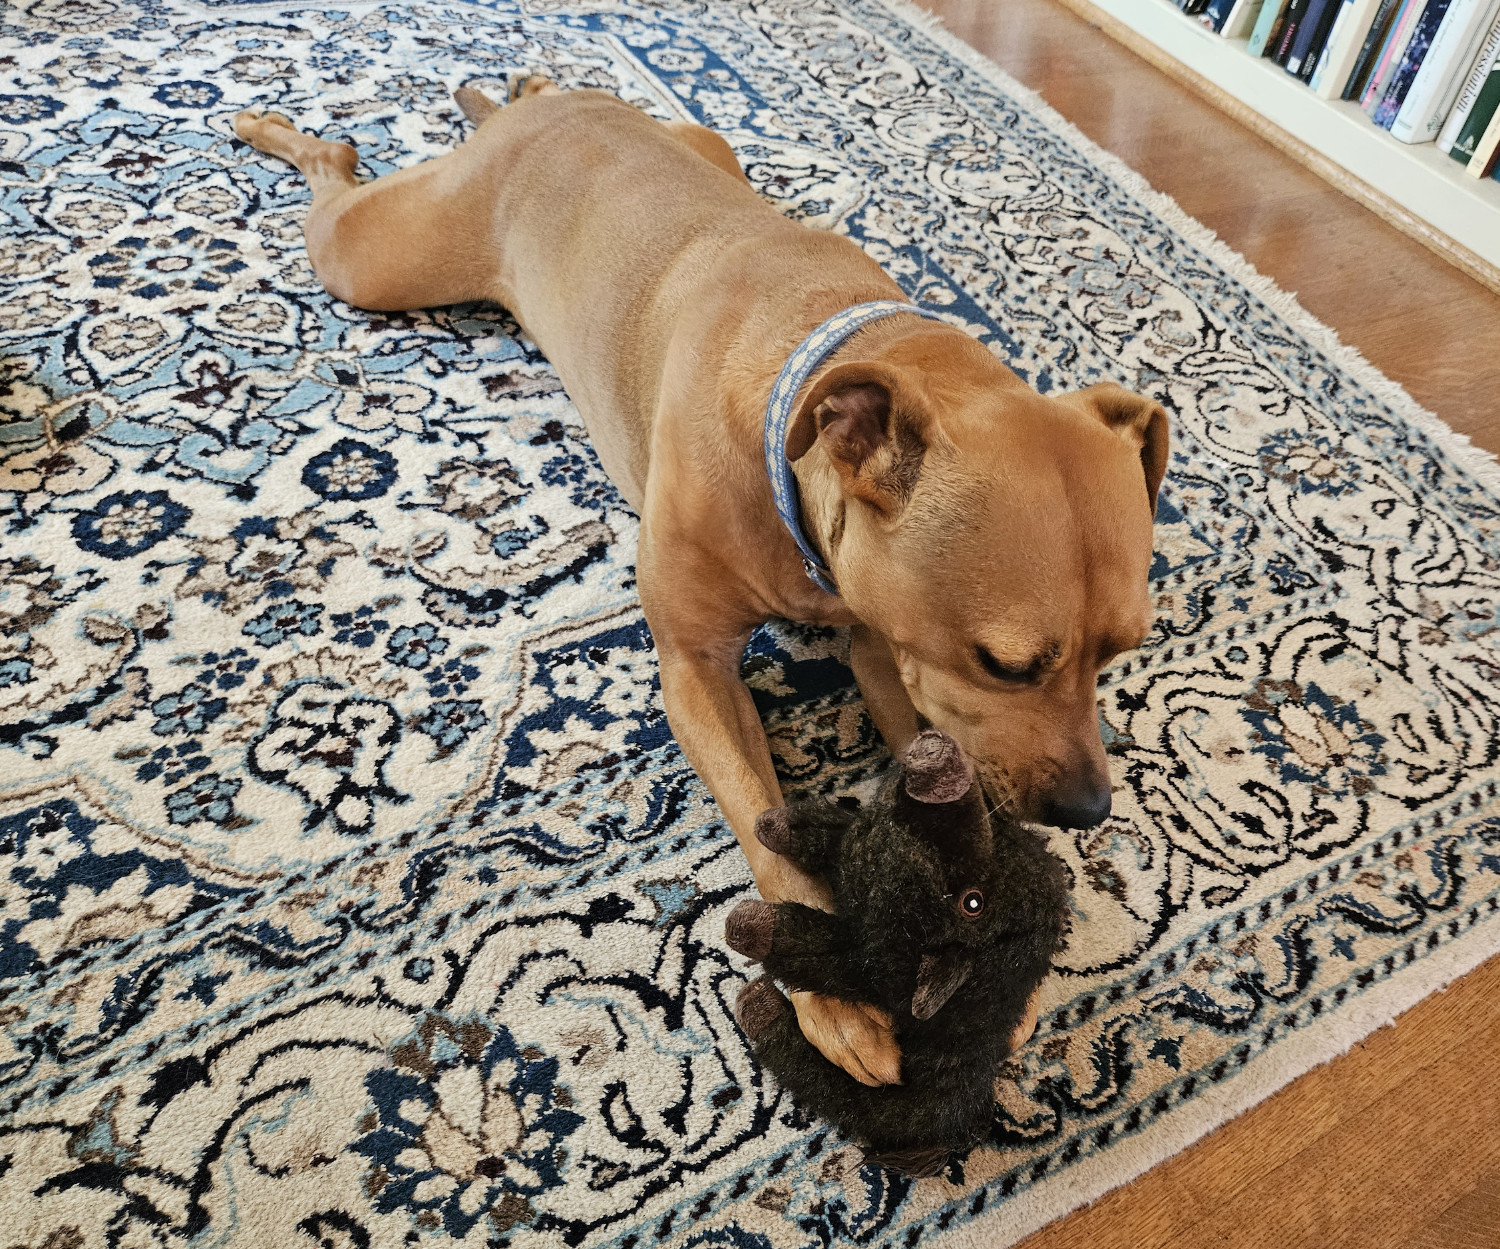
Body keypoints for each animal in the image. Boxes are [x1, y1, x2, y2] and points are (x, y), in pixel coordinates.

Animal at [237, 77, 1170, 1079]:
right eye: (1005, 663)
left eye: (1123, 649)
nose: (1089, 809)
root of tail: (553, 105)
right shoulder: (696, 670)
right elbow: (767, 823)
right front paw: (837, 993)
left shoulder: (888, 648)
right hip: (376, 259)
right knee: (332, 171)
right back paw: (274, 128)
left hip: (698, 144)